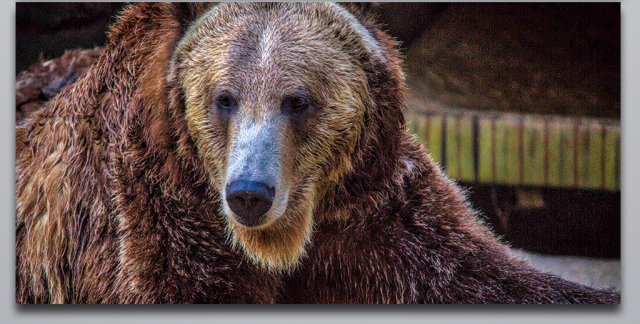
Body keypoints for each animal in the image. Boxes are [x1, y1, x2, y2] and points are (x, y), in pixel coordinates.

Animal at [16, 1, 620, 304]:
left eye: (297, 99)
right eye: (224, 97)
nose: (249, 193)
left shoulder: (373, 210)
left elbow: (484, 274)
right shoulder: (157, 213)